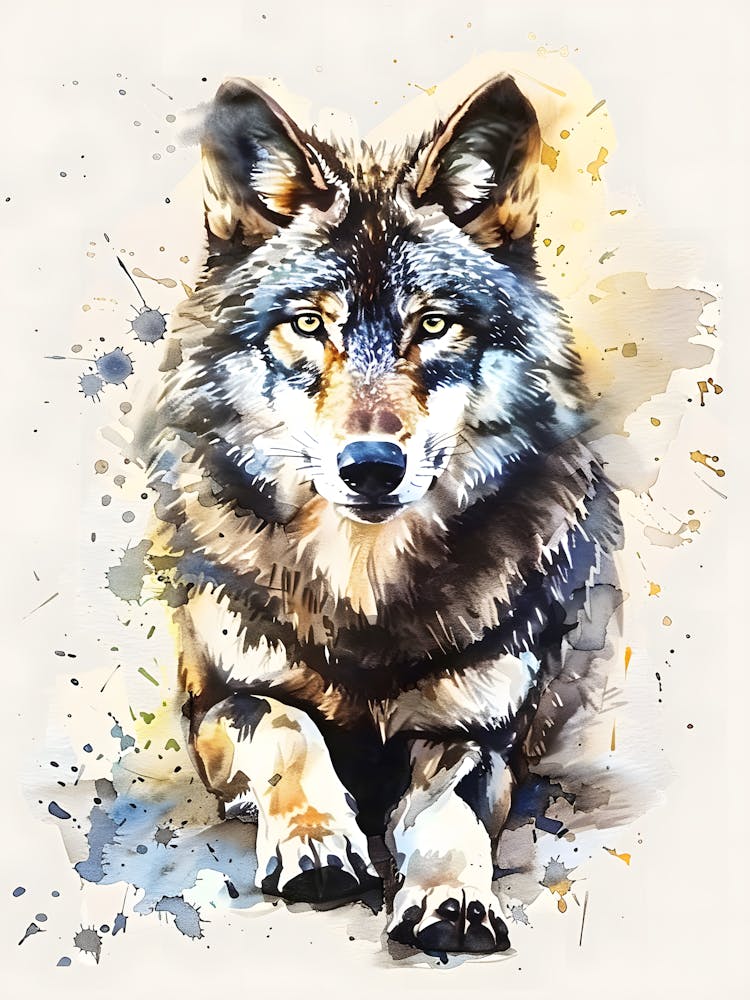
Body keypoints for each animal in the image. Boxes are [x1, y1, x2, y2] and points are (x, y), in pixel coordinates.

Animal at [141, 73, 623, 955]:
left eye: (432, 324)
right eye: (308, 324)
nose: (370, 467)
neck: (363, 590)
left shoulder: (479, 733)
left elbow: (447, 815)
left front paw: (450, 898)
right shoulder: (219, 700)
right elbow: (288, 728)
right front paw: (317, 842)